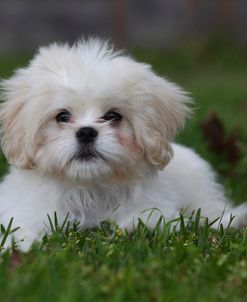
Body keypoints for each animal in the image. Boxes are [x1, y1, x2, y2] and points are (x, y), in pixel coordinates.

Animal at [0, 37, 246, 250]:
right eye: (62, 116)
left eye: (113, 116)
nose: (86, 132)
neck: (91, 190)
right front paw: (22, 246)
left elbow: (151, 219)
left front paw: (135, 227)